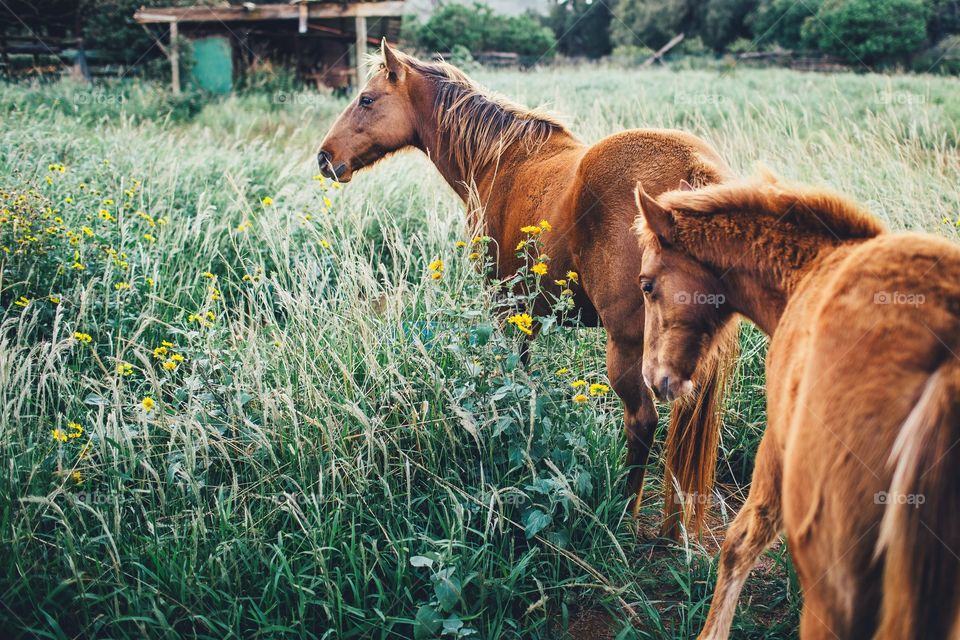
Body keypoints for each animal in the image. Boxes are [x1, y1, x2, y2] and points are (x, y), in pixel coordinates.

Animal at [315, 41, 741, 538]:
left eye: (366, 99)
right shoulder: (529, 311)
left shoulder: (504, 304)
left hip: (626, 346)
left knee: (642, 422)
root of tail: (693, 171)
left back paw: (620, 511)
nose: (324, 157)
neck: (498, 158)